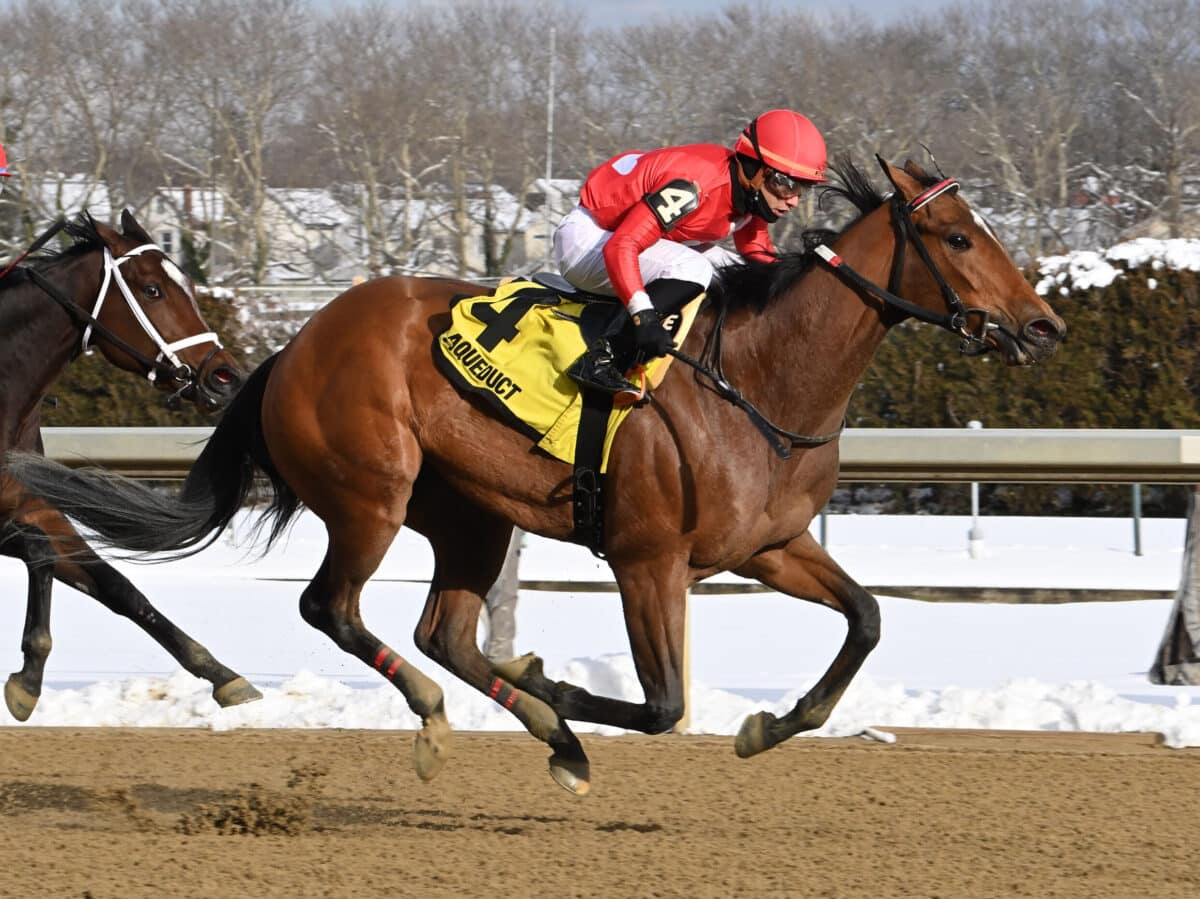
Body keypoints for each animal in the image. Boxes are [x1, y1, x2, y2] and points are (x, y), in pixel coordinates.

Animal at [0, 210, 261, 720]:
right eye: (152, 289)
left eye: (189, 286)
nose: (226, 376)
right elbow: (39, 550)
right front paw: (28, 676)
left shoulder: (32, 502)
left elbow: (118, 587)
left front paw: (222, 674)